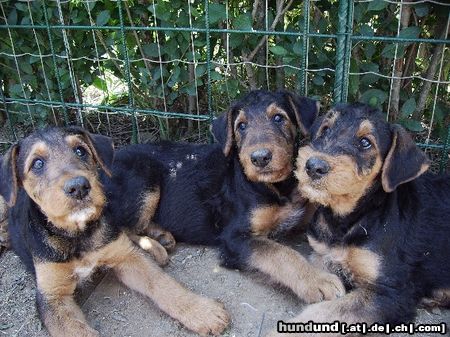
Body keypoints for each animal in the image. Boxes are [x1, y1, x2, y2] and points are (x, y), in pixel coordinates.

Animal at [0, 126, 229, 336]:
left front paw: (204, 312)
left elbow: (163, 283)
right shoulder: (51, 296)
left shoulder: (125, 255)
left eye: (80, 151)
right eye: (37, 163)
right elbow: (76, 330)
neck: (78, 236)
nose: (79, 187)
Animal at [111, 89, 344, 302]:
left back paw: (161, 235)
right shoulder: (234, 237)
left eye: (279, 118)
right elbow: (281, 253)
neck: (276, 187)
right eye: (241, 126)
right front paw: (318, 281)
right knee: (122, 226)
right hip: (144, 180)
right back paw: (155, 247)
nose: (259, 158)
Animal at [270, 103, 450, 334]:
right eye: (326, 129)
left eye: (365, 142)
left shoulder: (391, 292)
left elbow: (329, 312)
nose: (313, 166)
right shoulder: (322, 255)